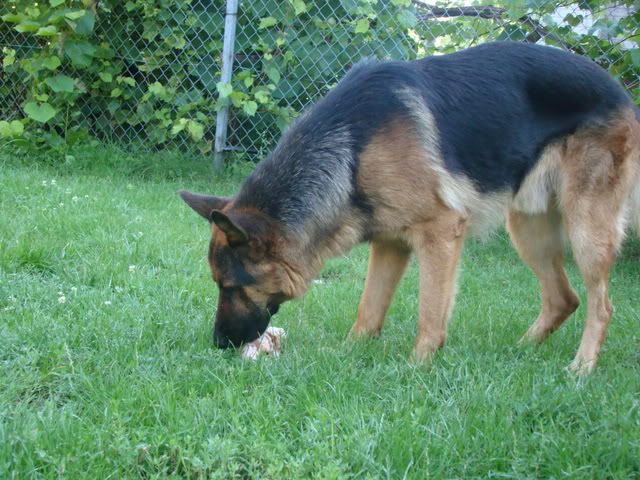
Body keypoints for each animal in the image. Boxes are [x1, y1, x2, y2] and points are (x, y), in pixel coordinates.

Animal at [181, 42, 640, 375]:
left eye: (229, 286)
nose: (219, 343)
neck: (351, 148)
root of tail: (622, 93)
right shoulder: (389, 243)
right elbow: (368, 310)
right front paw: (347, 355)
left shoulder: (440, 232)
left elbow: (430, 314)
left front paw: (417, 369)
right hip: (528, 229)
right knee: (564, 298)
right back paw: (520, 352)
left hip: (585, 230)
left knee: (601, 305)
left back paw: (581, 368)